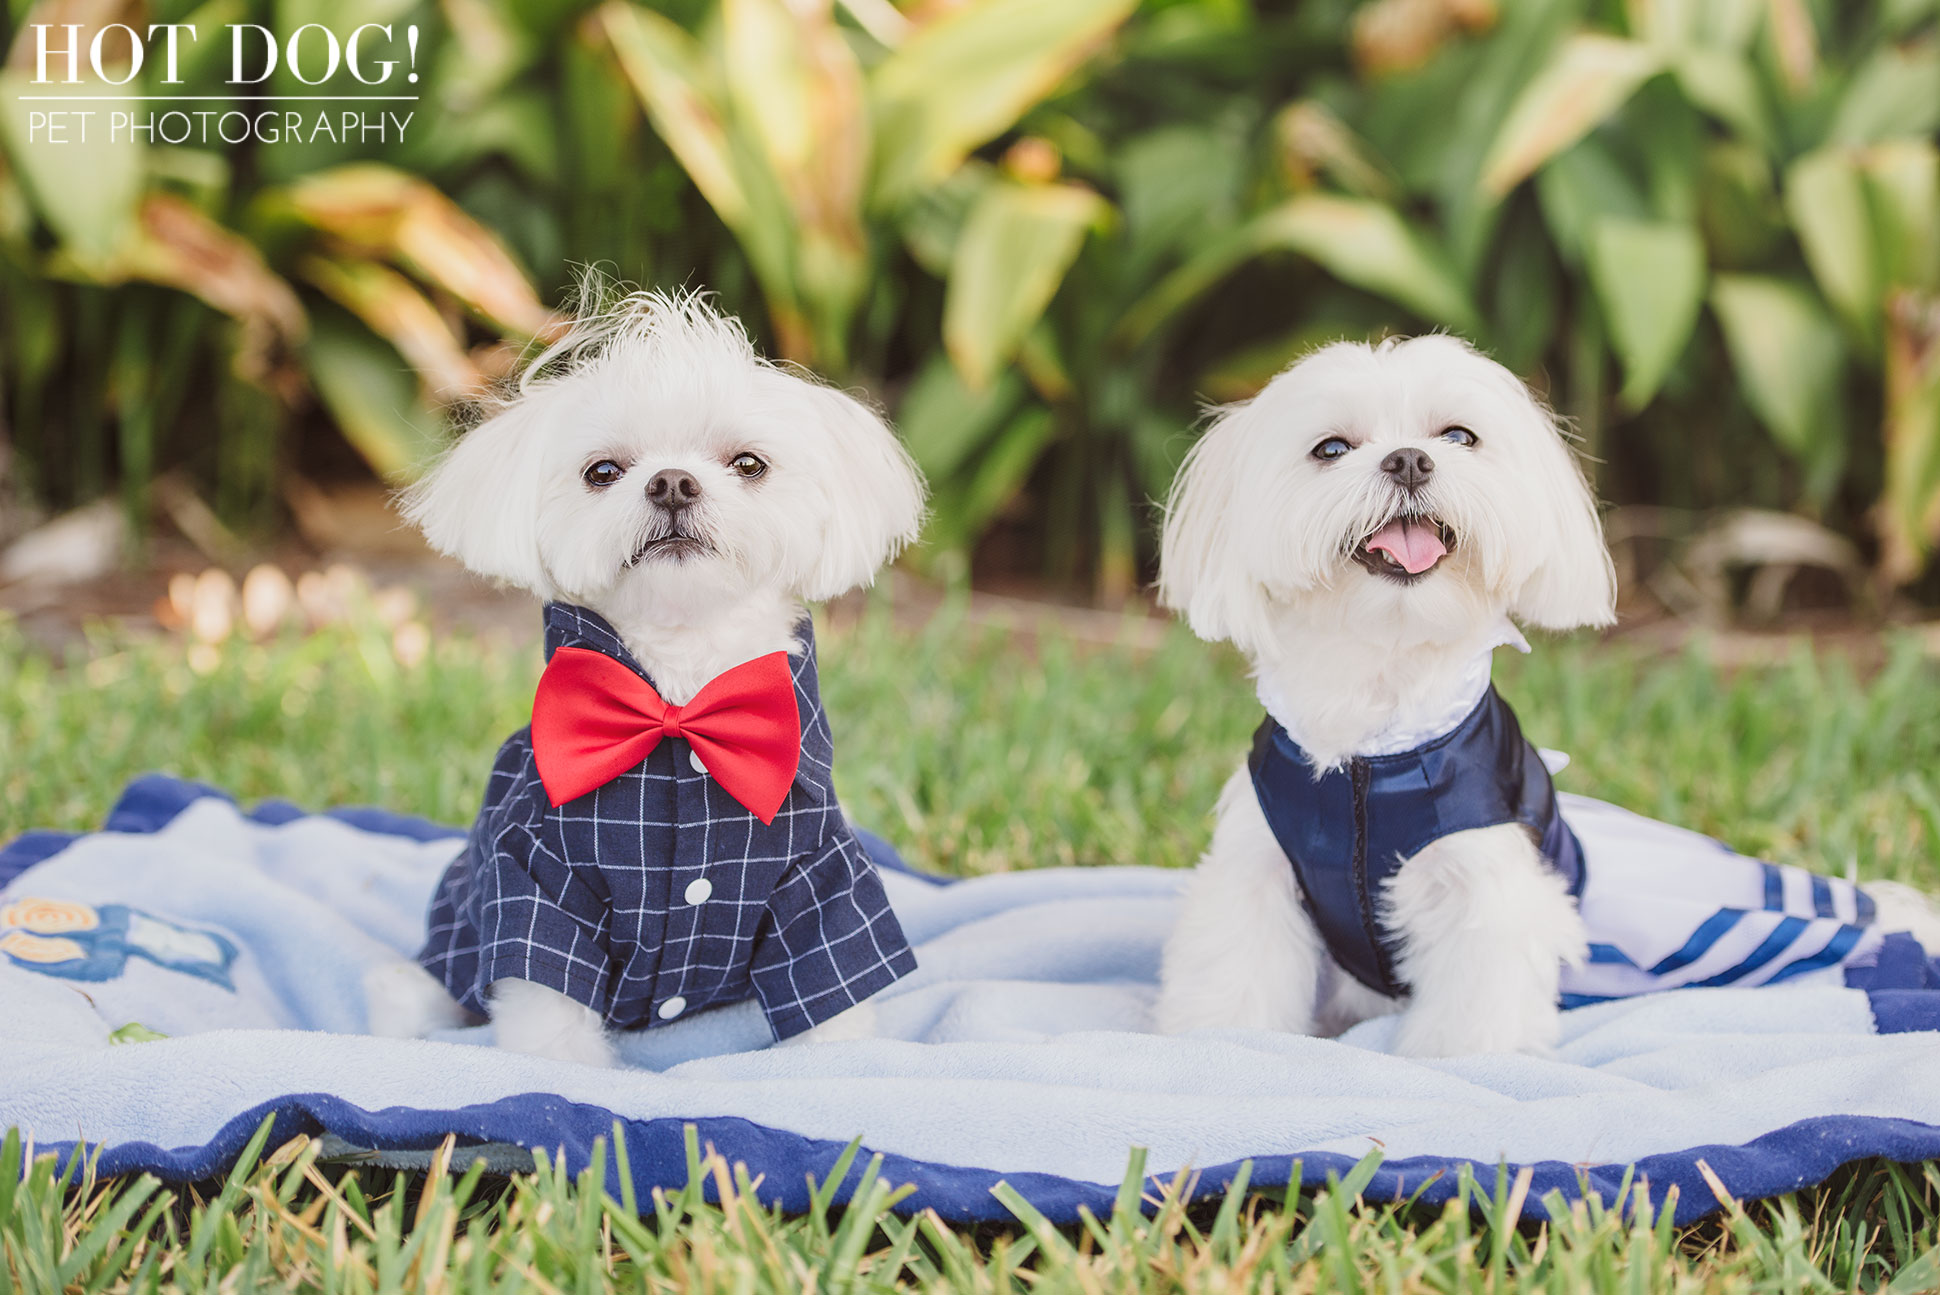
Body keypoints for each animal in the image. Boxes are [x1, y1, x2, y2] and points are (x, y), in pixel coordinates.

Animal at [362, 288, 923, 1070]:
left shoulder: (822, 875)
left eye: (748, 463)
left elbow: (833, 978)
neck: (681, 698)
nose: (672, 482)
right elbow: (548, 1000)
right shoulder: (534, 874)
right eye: (603, 471)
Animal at [1148, 337, 1940, 1062]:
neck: (1376, 744)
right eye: (1332, 448)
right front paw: (1229, 1048)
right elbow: (1237, 979)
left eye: (1458, 437)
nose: (1409, 460)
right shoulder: (1257, 874)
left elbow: (1474, 1011)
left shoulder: (1486, 885)